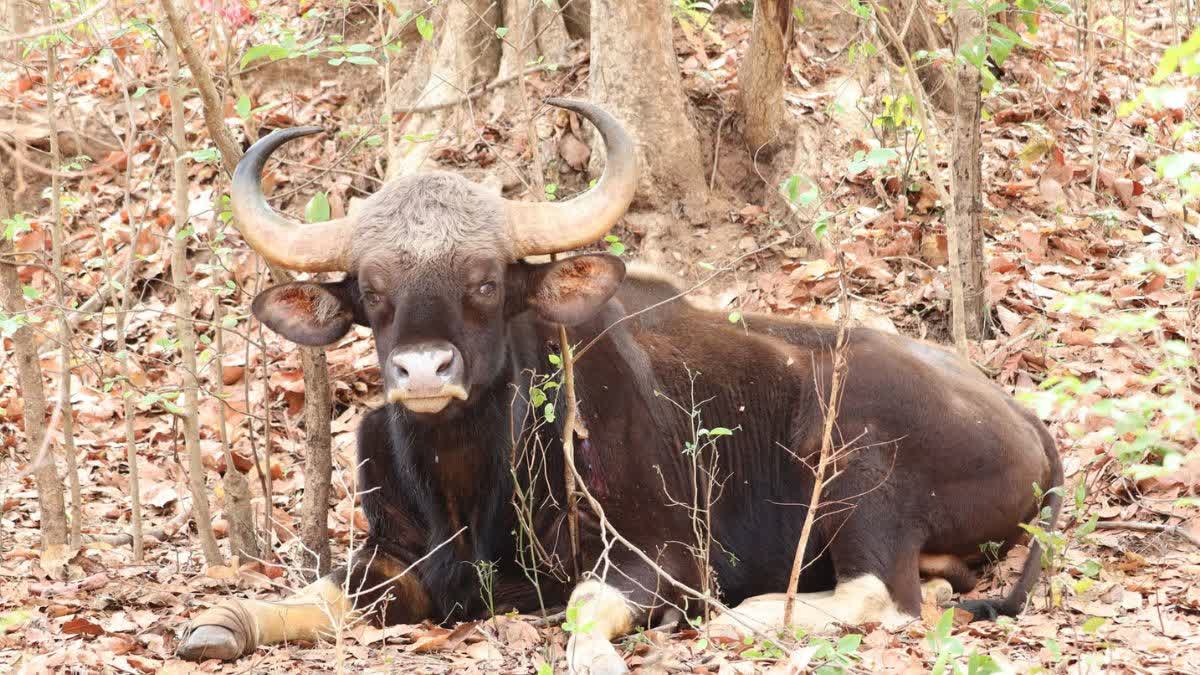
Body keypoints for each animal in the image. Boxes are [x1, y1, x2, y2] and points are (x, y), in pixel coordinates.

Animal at [178, 98, 1062, 673]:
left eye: (485, 282)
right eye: (372, 287)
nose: (424, 369)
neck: (470, 482)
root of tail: (1023, 416)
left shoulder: (665, 553)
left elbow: (582, 604)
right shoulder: (396, 555)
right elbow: (321, 591)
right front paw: (223, 619)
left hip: (858, 451)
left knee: (886, 594)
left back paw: (744, 617)